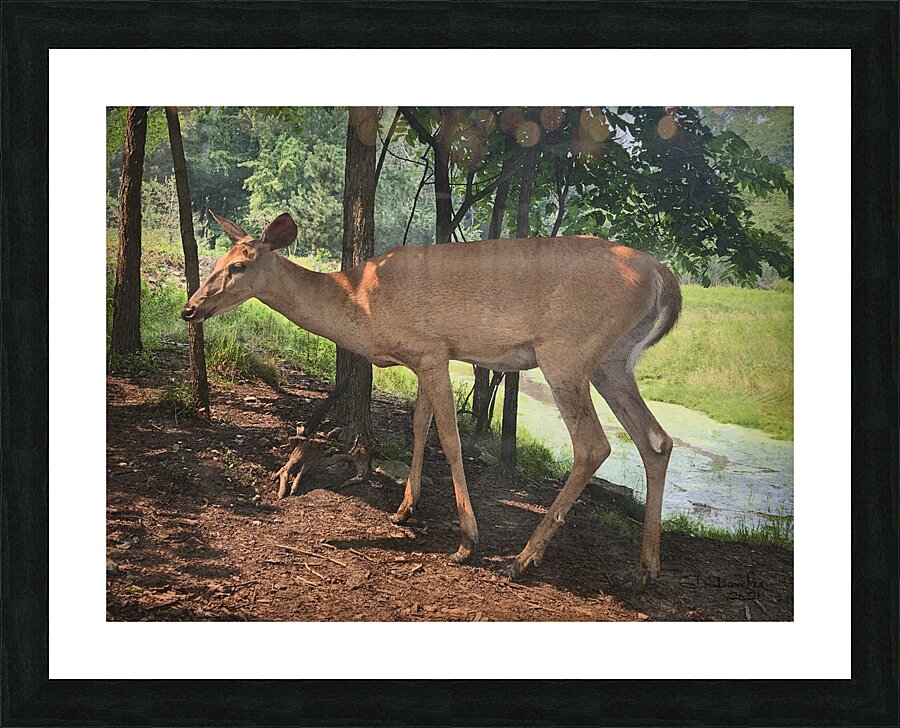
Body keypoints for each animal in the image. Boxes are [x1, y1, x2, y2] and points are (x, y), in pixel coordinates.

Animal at [183, 211, 682, 588]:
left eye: (239, 266)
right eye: (219, 258)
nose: (190, 308)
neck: (361, 303)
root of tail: (667, 280)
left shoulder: (433, 349)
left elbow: (451, 438)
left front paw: (466, 541)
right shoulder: (422, 358)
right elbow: (419, 424)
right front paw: (405, 509)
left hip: (567, 352)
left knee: (594, 445)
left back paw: (522, 559)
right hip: (613, 361)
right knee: (657, 440)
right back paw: (647, 567)